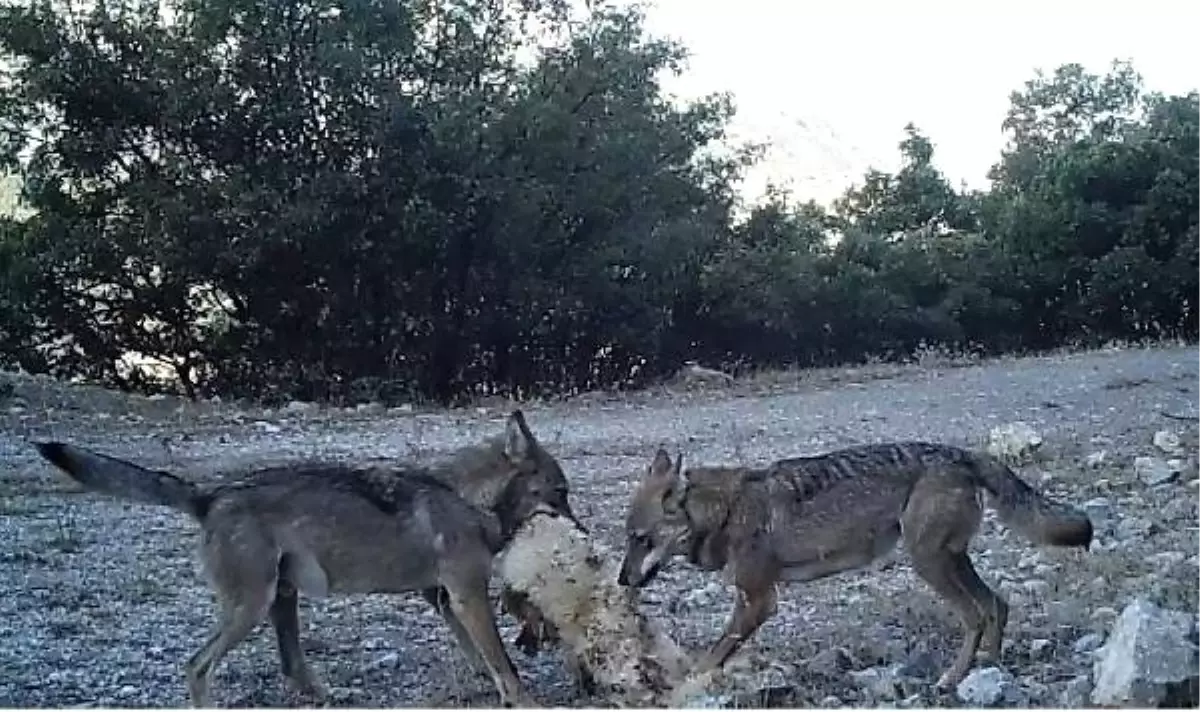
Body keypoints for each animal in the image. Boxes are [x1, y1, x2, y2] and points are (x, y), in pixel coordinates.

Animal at [31, 408, 576, 705]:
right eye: (561, 493)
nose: (583, 529)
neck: (468, 498)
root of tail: (211, 495)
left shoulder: (443, 599)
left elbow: (481, 657)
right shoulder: (466, 597)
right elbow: (504, 662)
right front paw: (524, 701)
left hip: (281, 597)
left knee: (292, 669)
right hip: (250, 609)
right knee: (196, 666)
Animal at [619, 441, 1099, 691]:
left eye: (641, 539)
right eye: (627, 538)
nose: (622, 580)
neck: (726, 511)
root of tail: (961, 452)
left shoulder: (758, 600)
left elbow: (711, 656)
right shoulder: (752, 601)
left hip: (929, 563)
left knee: (977, 615)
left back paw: (951, 680)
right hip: (947, 560)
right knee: (998, 605)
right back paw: (988, 674)